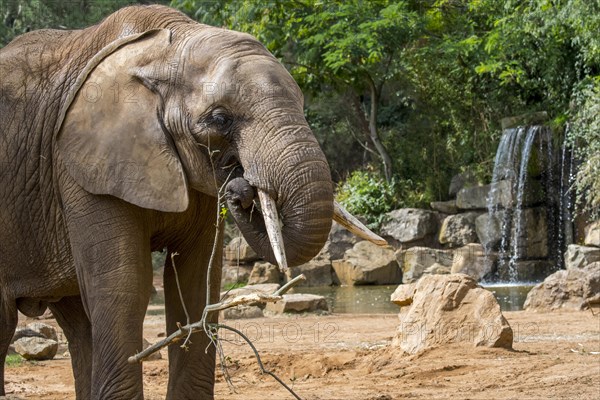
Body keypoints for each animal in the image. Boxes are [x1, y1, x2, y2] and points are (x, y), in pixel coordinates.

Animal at [0, 3, 384, 400]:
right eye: (220, 119)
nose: (240, 188)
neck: (166, 47)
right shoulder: (81, 167)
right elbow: (123, 288)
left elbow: (197, 284)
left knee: (78, 322)